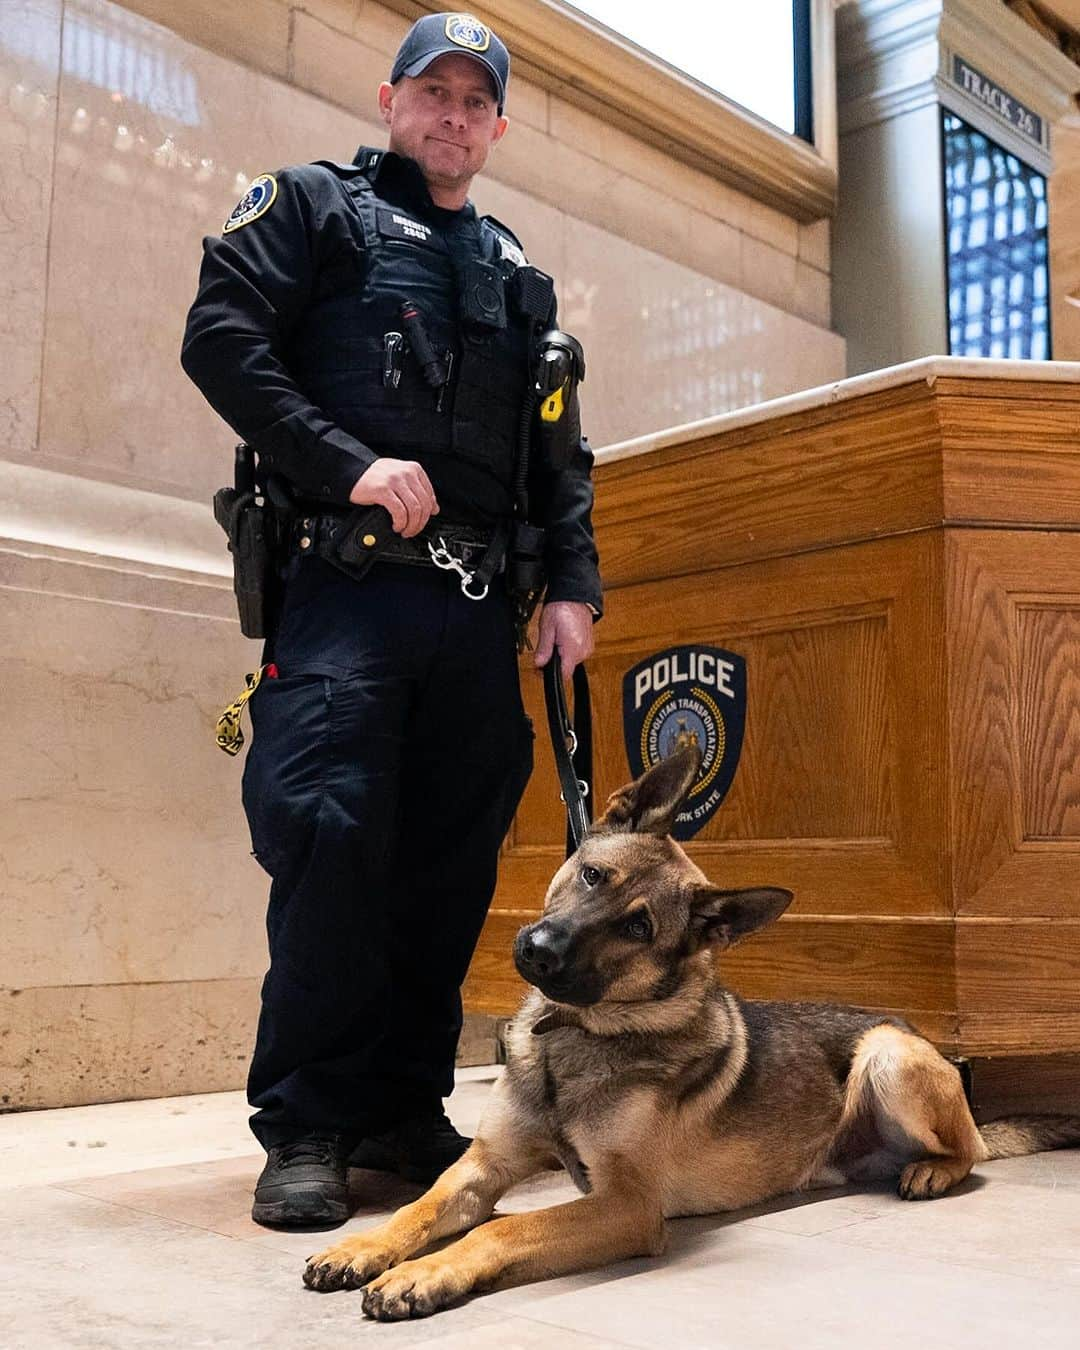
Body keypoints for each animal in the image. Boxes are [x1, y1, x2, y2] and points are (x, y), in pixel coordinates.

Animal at [301, 739, 1080, 1317]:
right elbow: (422, 1206)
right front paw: (362, 1247)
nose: (538, 951)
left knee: (971, 1150)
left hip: (888, 1055)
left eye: (638, 928)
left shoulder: (627, 1206)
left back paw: (933, 1169)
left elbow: (505, 1223)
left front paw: (422, 1275)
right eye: (591, 875)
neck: (576, 1038)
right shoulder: (484, 1165)